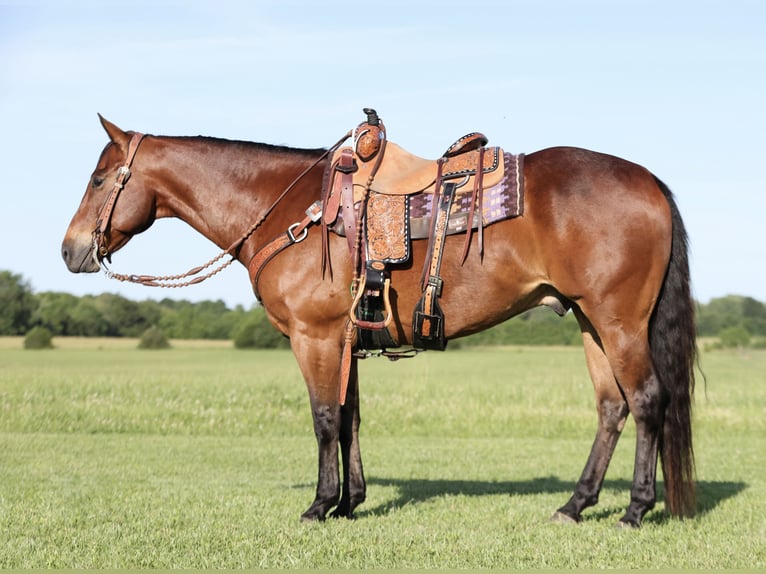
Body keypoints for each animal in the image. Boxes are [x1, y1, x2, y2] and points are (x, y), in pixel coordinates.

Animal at [61, 113, 696, 532]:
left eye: (98, 180)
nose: (71, 251)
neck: (290, 211)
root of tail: (649, 182)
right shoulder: (345, 339)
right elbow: (349, 419)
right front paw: (351, 502)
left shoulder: (314, 337)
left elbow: (323, 419)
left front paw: (320, 505)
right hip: (589, 321)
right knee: (611, 408)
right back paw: (574, 505)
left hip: (618, 322)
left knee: (646, 401)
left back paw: (635, 510)